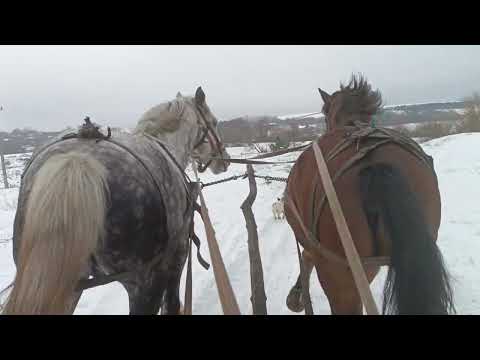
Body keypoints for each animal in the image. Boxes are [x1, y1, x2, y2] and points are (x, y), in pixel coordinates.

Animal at [284, 74, 456, 314]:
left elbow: (306, 257)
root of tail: (375, 162)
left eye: (324, 113)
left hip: (341, 275)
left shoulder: (309, 241)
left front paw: (296, 296)